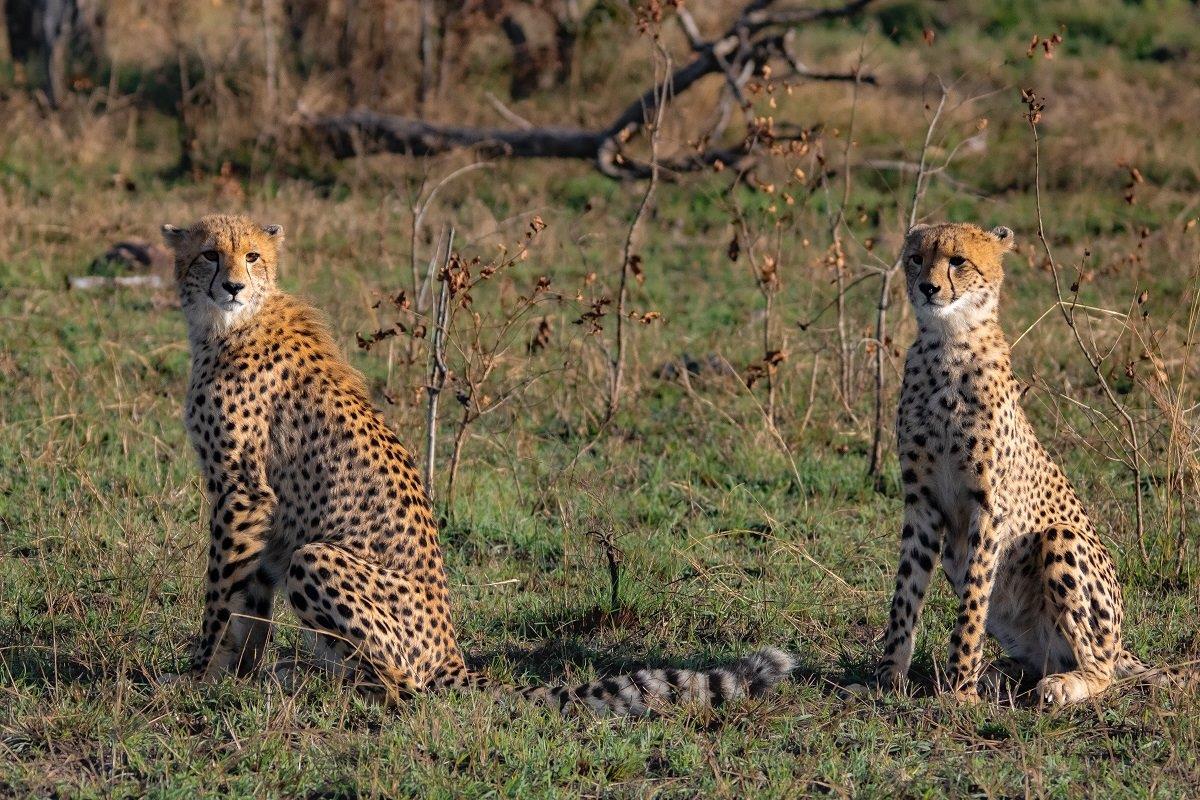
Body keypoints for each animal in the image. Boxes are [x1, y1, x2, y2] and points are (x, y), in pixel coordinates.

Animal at [160, 213, 795, 715]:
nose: (233, 286)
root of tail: (455, 656)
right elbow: (249, 607)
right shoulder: (263, 511)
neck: (228, 325)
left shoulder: (242, 491)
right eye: (209, 254)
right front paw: (233, 678)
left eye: (252, 256)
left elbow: (222, 597)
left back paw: (318, 685)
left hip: (320, 559)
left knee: (402, 689)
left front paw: (200, 674)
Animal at [873, 221, 1192, 705]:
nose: (927, 287)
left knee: (1100, 669)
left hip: (1063, 542)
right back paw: (998, 673)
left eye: (957, 261)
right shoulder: (921, 502)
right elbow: (905, 594)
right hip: (958, 559)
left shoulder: (990, 506)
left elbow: (973, 602)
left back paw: (1062, 683)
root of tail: (1119, 643)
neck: (947, 343)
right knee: (1037, 659)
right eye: (916, 258)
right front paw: (886, 678)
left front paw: (959, 693)